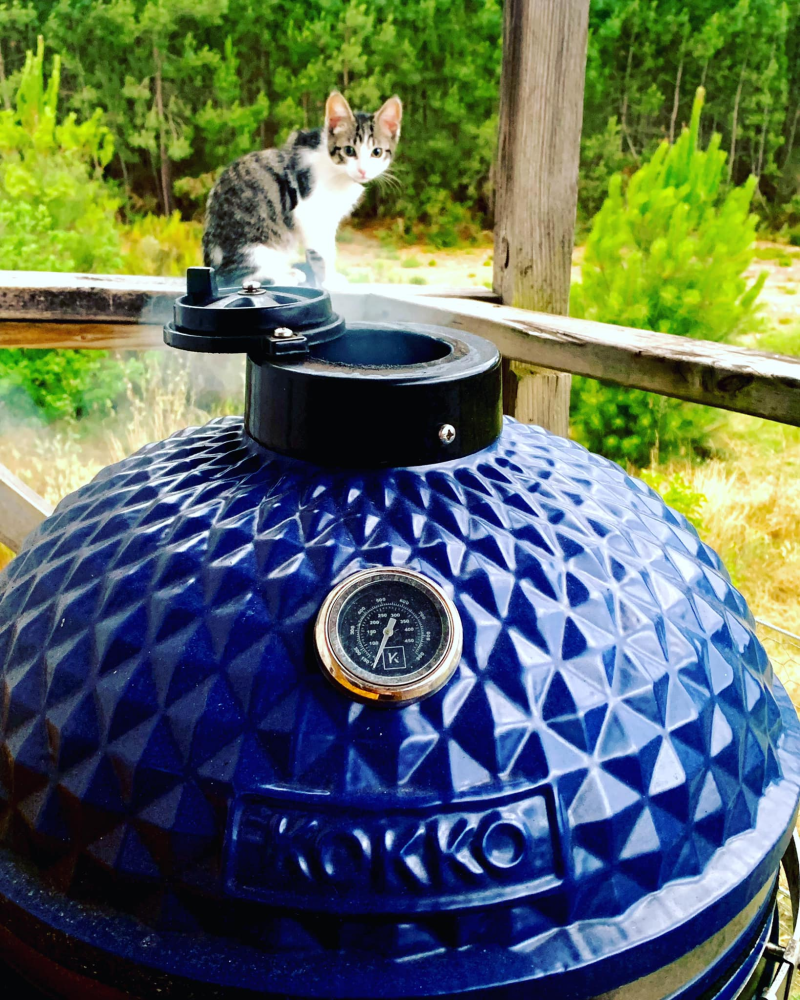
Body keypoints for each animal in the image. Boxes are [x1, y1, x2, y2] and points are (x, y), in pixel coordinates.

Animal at [202, 91, 402, 289]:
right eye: (348, 150)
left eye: (377, 152)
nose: (363, 170)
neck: (337, 172)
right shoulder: (309, 213)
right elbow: (323, 251)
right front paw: (329, 280)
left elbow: (329, 247)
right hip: (252, 247)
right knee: (233, 278)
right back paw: (282, 276)